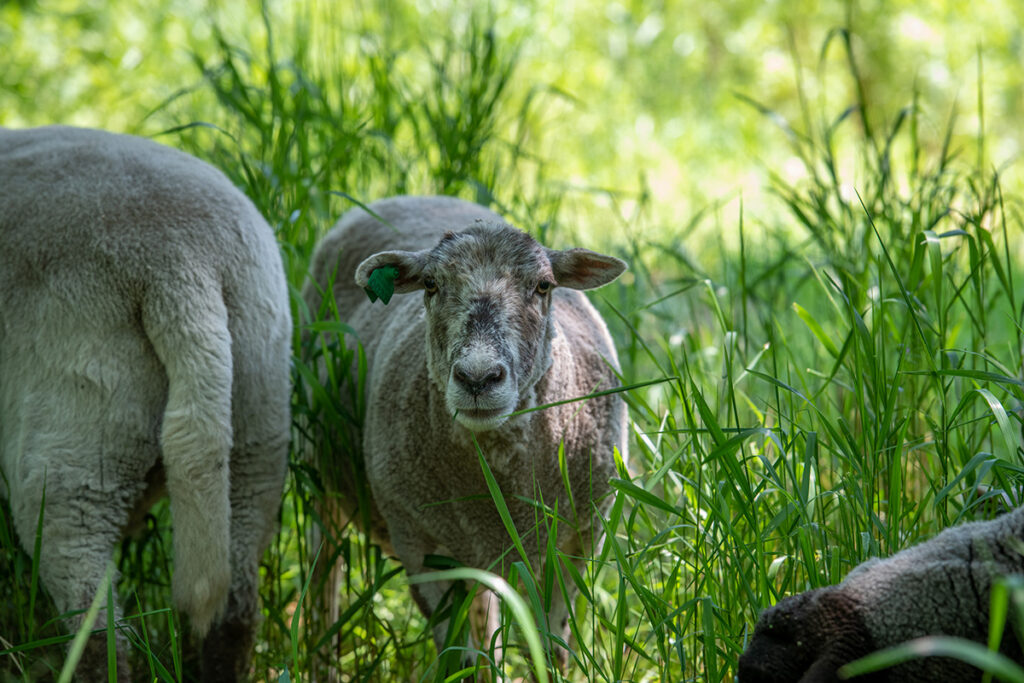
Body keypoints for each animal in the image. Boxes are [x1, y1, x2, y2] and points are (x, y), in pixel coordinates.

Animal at [299, 194, 626, 671]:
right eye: (430, 284)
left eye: (544, 286)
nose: (477, 378)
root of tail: (407, 197)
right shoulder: (421, 544)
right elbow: (458, 659)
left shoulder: (575, 541)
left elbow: (552, 646)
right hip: (318, 474)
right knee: (324, 572)